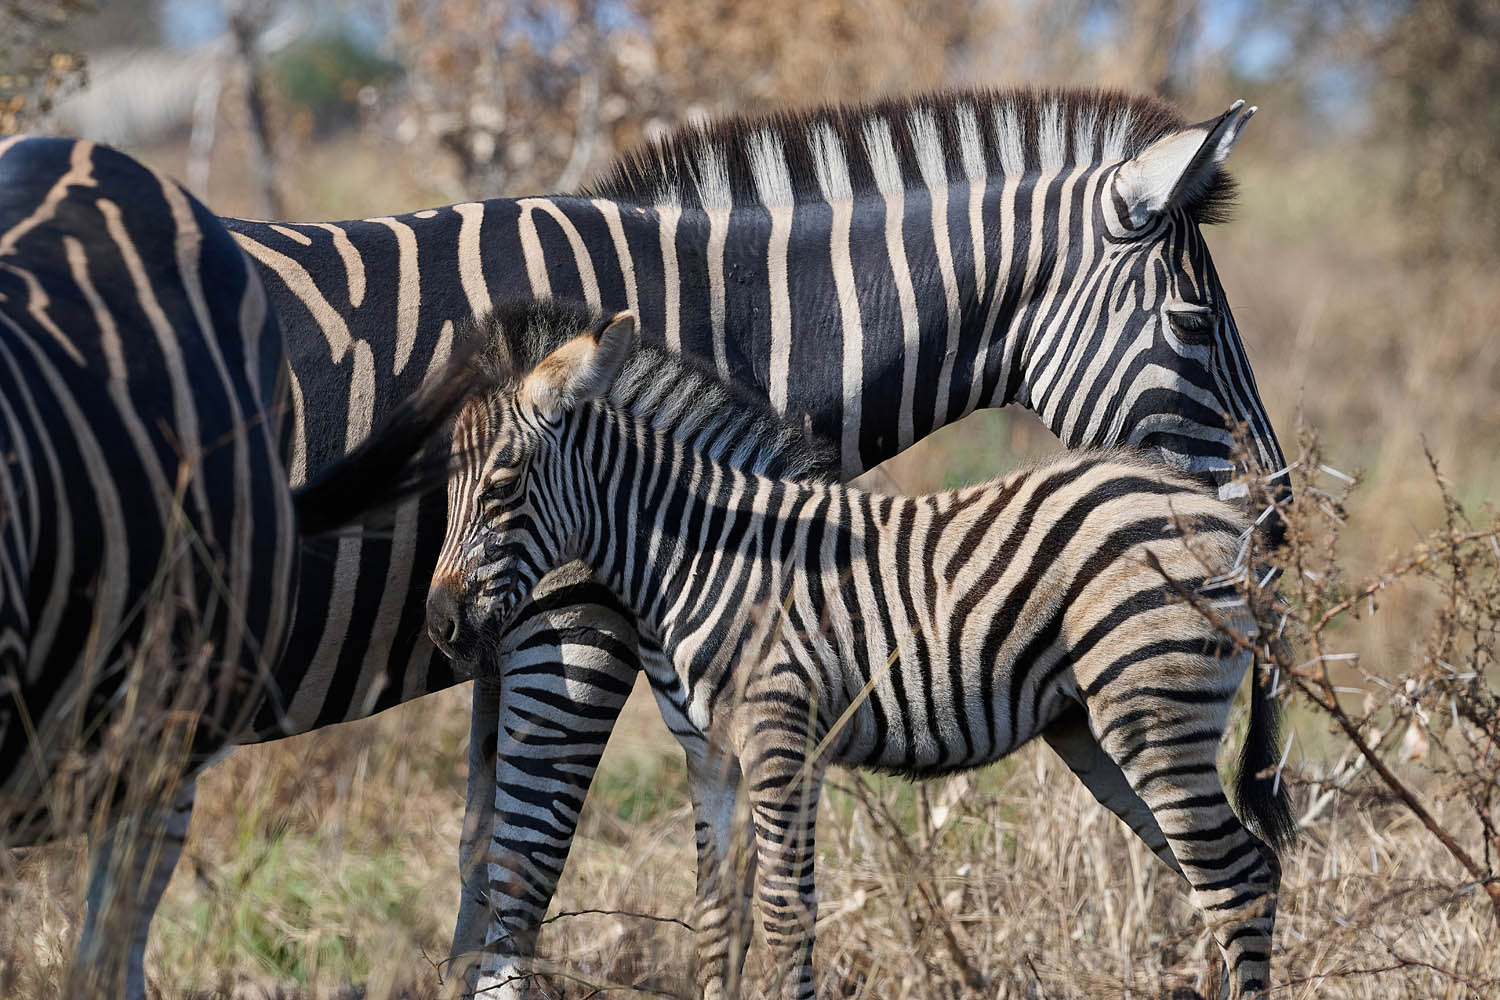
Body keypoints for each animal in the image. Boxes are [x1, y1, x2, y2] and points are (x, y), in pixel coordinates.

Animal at [425, 301, 1296, 1000]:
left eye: (503, 486)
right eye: (446, 492)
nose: (439, 624)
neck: (703, 555)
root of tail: (1227, 517)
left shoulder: (783, 736)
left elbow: (786, 914)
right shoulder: (710, 757)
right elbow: (717, 920)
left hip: (1154, 711)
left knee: (1237, 880)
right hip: (1101, 728)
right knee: (1225, 875)